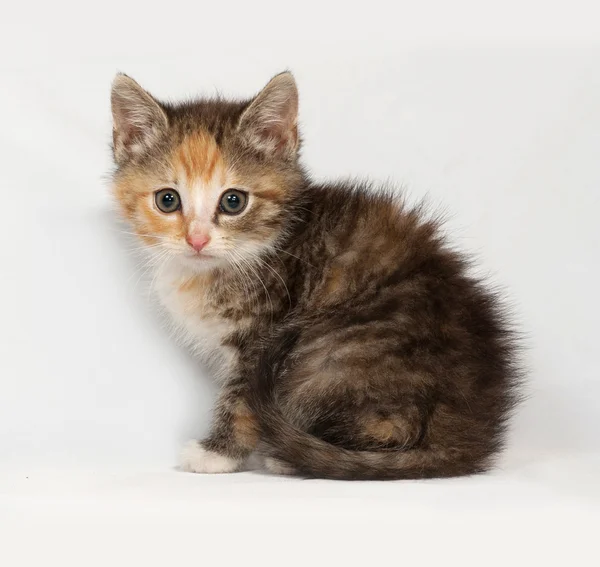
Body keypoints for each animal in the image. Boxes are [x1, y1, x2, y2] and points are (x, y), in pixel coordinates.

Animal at [109, 71, 520, 480]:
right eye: (167, 200)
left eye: (233, 201)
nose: (196, 239)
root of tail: (470, 428)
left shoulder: (262, 334)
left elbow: (240, 399)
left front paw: (218, 454)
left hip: (329, 354)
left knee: (392, 426)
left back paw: (290, 457)